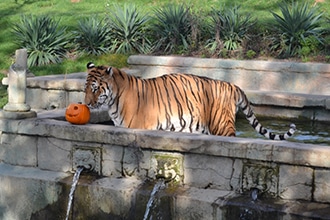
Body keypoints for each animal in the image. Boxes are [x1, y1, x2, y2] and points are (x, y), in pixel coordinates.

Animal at [85, 62, 296, 140]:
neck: (113, 100)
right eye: (85, 88)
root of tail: (232, 85)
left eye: (95, 89)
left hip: (221, 125)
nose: (86, 104)